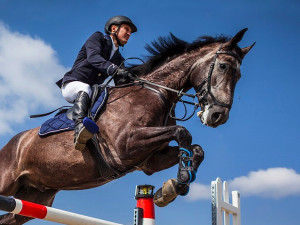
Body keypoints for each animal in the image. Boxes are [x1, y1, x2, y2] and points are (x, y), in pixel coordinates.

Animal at [0, 28, 254, 223]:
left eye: (239, 75)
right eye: (223, 66)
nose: (218, 116)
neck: (157, 92)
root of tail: (11, 145)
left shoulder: (150, 160)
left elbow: (197, 149)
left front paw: (173, 187)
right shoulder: (126, 146)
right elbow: (183, 132)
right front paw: (179, 180)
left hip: (35, 197)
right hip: (7, 185)